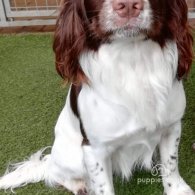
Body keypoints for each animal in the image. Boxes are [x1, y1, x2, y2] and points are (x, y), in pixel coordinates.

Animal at [0, 0, 195, 195]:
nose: (128, 5)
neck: (133, 60)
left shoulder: (172, 127)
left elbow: (171, 163)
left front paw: (178, 190)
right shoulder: (94, 149)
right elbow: (103, 186)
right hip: (73, 159)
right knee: (54, 172)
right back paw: (79, 186)